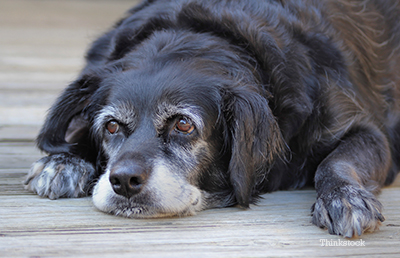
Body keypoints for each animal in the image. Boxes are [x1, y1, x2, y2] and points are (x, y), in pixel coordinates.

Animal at [25, 0, 400, 238]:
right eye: (111, 126)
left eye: (183, 124)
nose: (123, 181)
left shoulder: (368, 132)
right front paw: (65, 161)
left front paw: (343, 196)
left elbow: (335, 161)